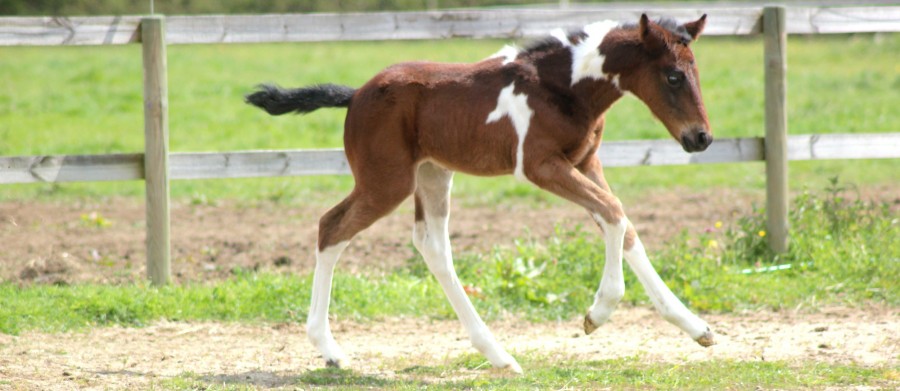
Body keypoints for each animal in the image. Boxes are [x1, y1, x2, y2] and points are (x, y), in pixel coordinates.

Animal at [246, 13, 716, 374]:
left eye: (697, 72)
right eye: (674, 76)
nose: (701, 138)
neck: (563, 87)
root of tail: (356, 95)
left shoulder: (586, 163)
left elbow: (623, 225)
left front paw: (697, 327)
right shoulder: (541, 166)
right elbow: (615, 213)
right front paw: (597, 314)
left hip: (433, 174)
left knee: (432, 247)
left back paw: (498, 355)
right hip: (386, 183)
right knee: (332, 227)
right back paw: (331, 350)